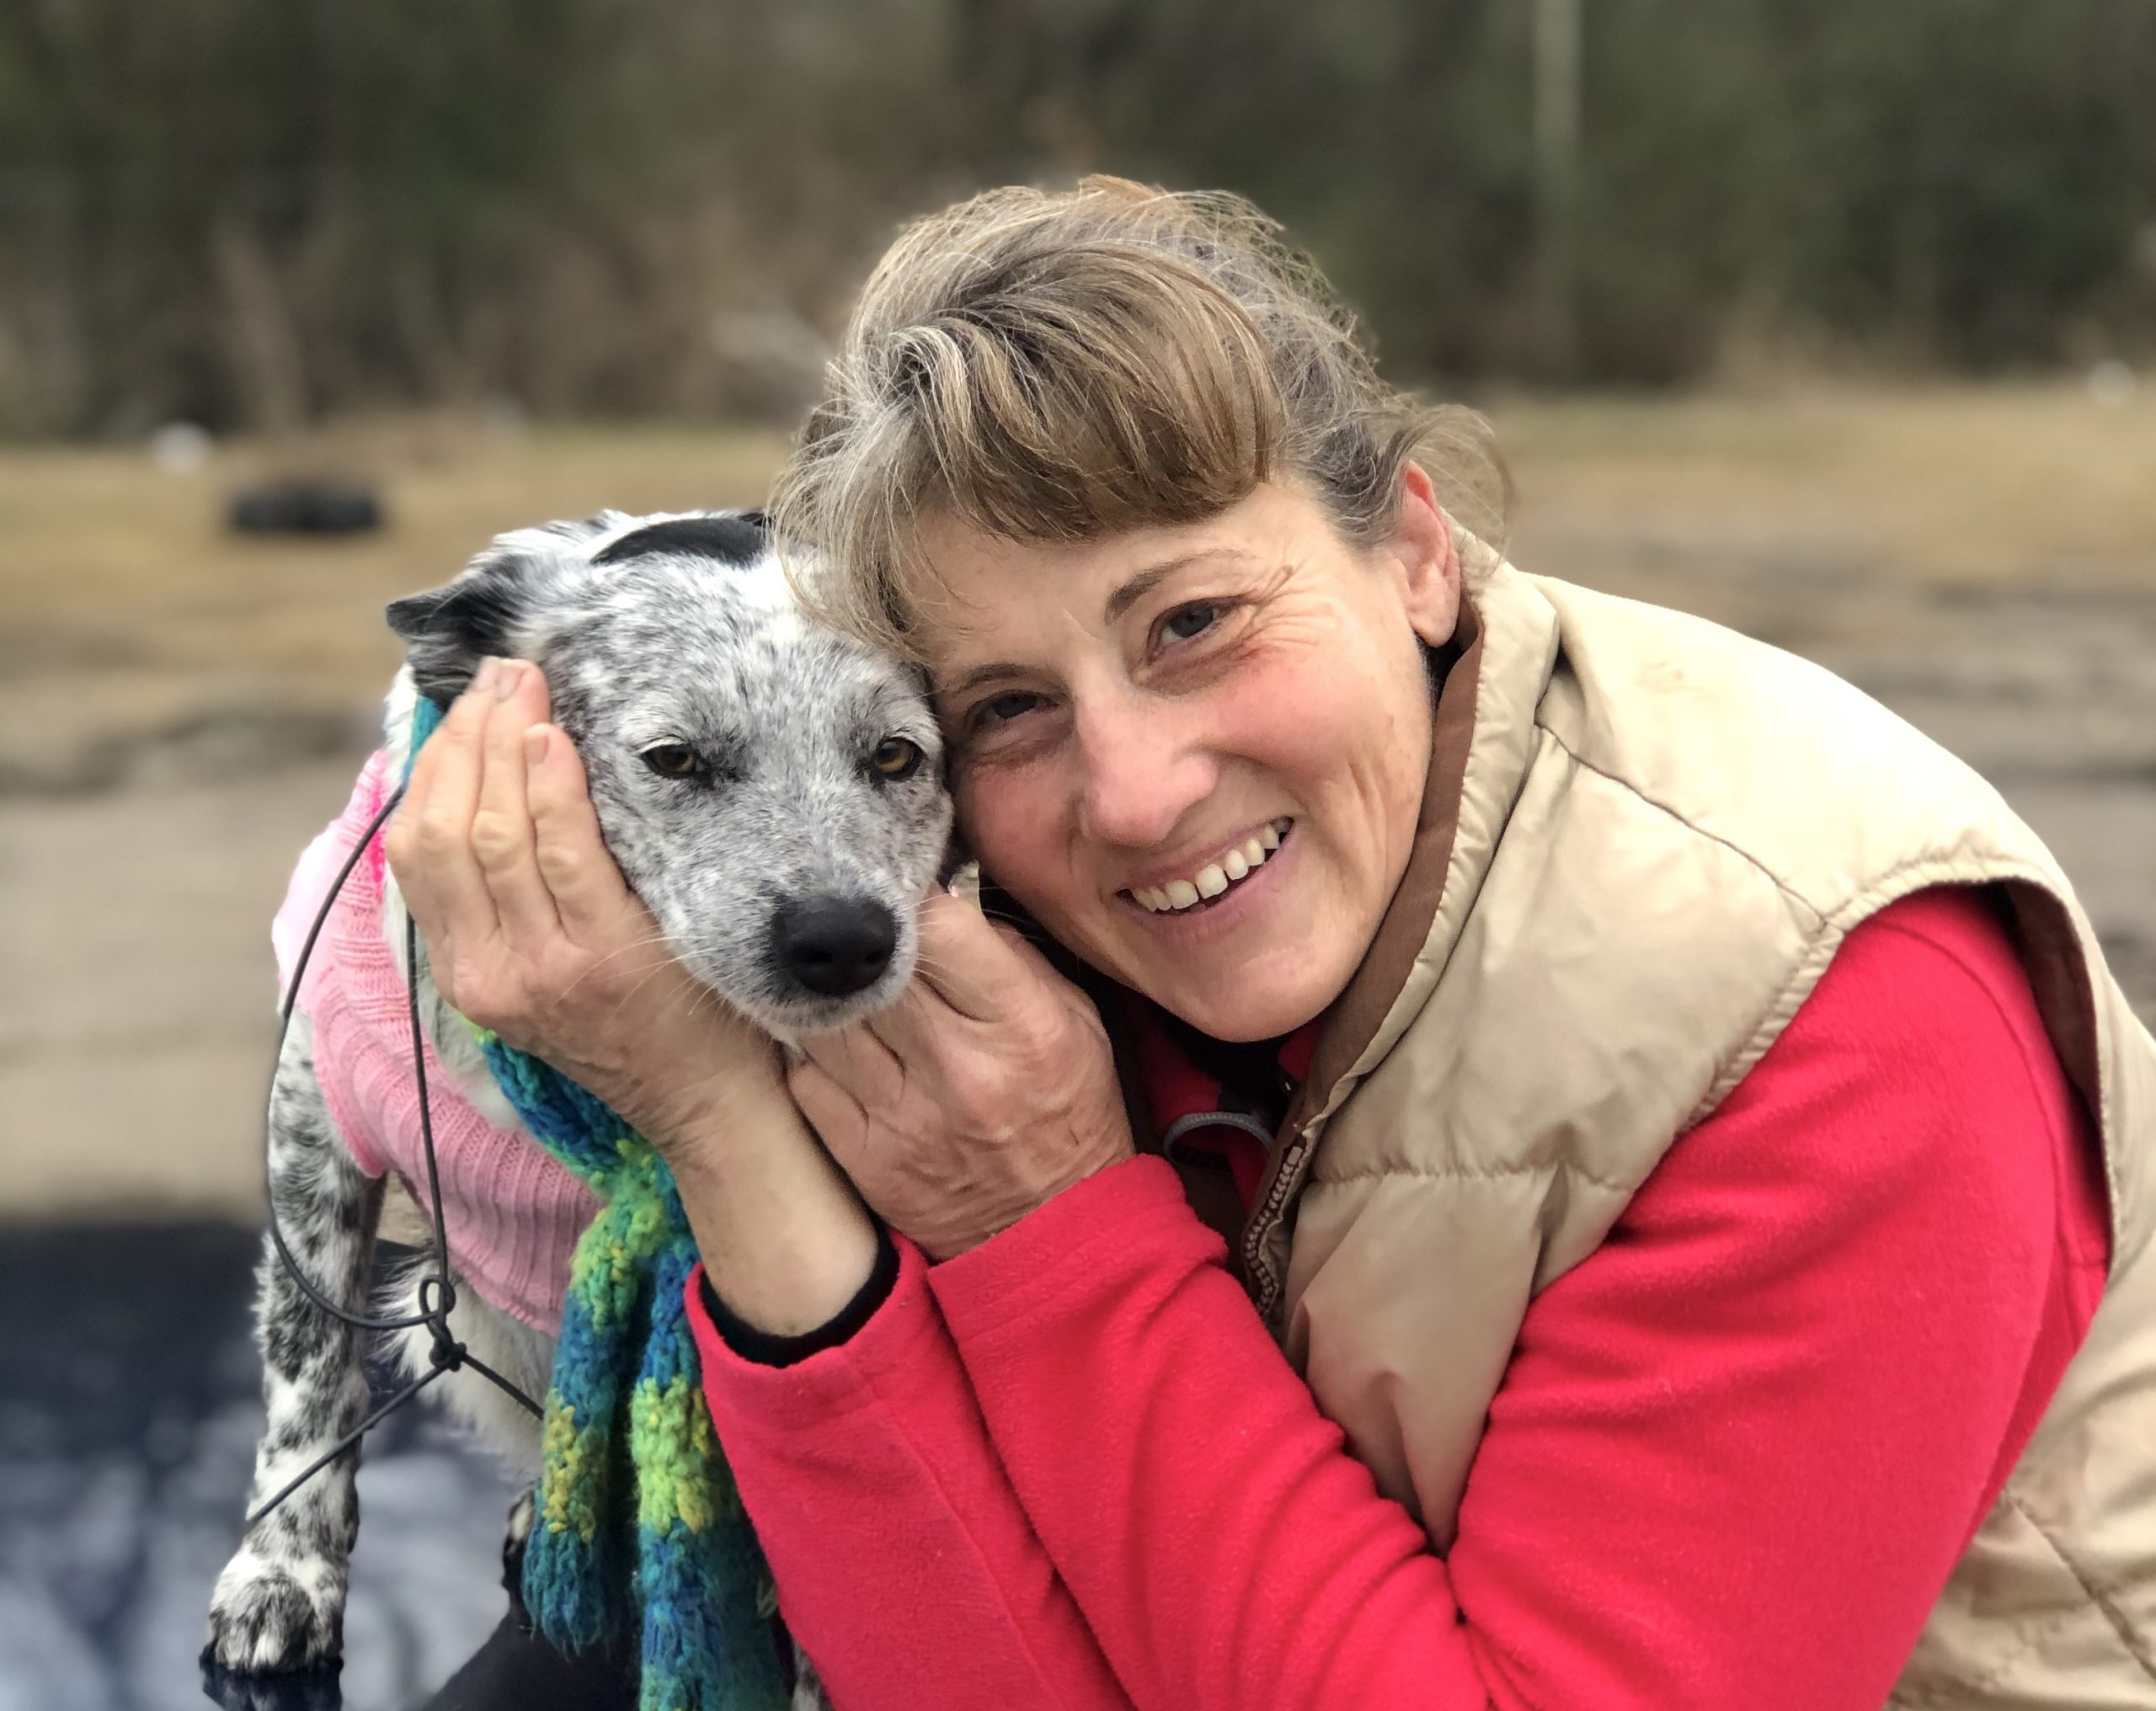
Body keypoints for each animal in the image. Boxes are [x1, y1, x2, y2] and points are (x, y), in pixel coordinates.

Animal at [208, 510, 953, 1706]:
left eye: (896, 754)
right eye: (674, 757)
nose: (844, 941)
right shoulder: (314, 1122)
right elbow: (309, 1367)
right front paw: (280, 1576)